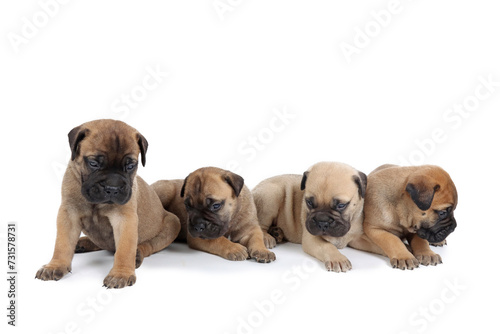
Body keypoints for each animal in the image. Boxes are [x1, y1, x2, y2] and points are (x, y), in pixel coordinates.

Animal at [36, 119, 182, 288]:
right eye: (93, 163)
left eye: (130, 166)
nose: (113, 188)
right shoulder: (68, 214)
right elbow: (62, 243)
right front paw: (55, 266)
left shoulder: (124, 219)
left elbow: (125, 249)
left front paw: (120, 274)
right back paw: (83, 243)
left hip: (172, 224)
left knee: (148, 246)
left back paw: (137, 254)